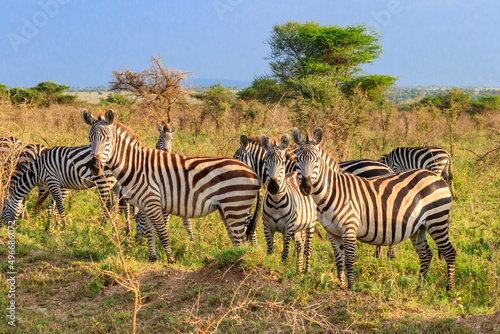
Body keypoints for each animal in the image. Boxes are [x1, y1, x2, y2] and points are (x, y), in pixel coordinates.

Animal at [81, 108, 262, 262]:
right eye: (89, 139)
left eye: (107, 139)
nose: (95, 167)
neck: (135, 165)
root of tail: (253, 173)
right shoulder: (144, 205)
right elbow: (149, 232)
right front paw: (152, 259)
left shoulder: (152, 202)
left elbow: (162, 232)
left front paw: (171, 260)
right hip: (227, 210)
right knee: (237, 241)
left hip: (235, 207)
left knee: (241, 240)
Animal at [260, 134, 318, 274]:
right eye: (265, 162)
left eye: (282, 163)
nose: (273, 187)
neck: (276, 203)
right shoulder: (267, 227)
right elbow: (270, 251)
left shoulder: (287, 228)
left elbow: (284, 253)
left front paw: (282, 270)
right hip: (297, 228)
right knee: (300, 245)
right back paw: (298, 271)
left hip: (310, 223)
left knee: (308, 247)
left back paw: (306, 271)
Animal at [290, 128, 458, 290]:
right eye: (297, 159)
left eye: (317, 160)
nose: (306, 188)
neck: (333, 192)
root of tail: (435, 177)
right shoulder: (332, 232)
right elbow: (339, 261)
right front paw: (341, 286)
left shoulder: (350, 228)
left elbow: (349, 261)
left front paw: (351, 289)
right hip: (419, 227)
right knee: (426, 254)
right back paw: (419, 286)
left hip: (437, 219)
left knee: (449, 252)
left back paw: (449, 288)